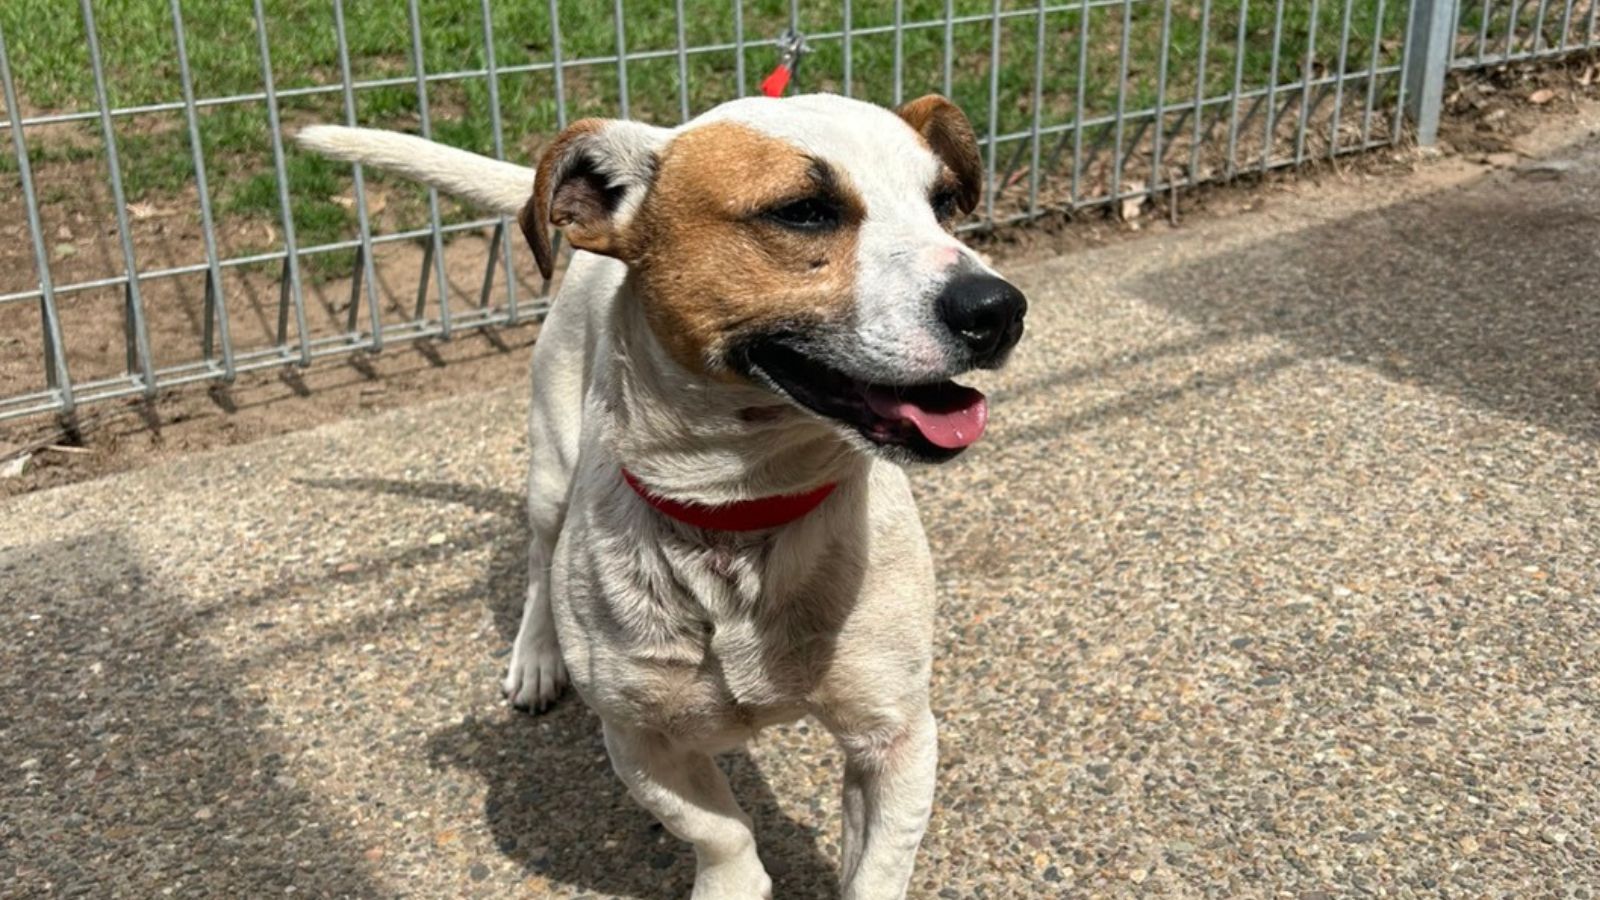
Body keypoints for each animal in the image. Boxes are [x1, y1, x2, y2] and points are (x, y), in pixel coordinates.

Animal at [300, 92, 1024, 896]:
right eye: (804, 212)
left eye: (943, 204)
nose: (999, 308)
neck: (743, 509)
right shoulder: (640, 737)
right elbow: (720, 832)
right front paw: (733, 882)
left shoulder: (897, 738)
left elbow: (873, 868)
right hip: (550, 469)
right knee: (538, 563)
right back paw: (537, 657)